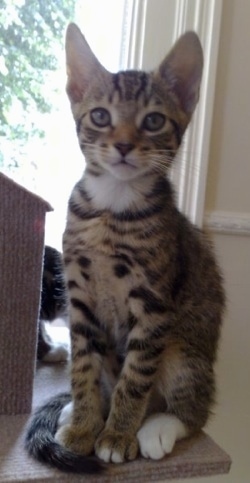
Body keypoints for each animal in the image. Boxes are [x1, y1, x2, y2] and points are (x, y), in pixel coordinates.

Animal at [25, 24, 225, 474]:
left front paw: (116, 436)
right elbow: (82, 367)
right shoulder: (80, 300)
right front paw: (84, 427)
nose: (123, 145)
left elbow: (135, 378)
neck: (111, 208)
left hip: (183, 351)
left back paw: (154, 428)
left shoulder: (153, 306)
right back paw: (76, 412)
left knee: (192, 410)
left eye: (153, 120)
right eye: (101, 116)